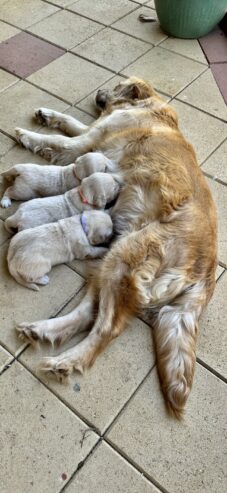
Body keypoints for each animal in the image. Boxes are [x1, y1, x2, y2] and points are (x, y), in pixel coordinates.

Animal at [15, 77, 217, 418]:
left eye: (117, 84)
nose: (99, 94)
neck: (148, 106)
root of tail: (207, 270)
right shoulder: (93, 132)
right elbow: (71, 122)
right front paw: (47, 115)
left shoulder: (88, 141)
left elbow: (62, 139)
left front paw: (28, 134)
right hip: (113, 261)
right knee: (90, 313)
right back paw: (44, 331)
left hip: (126, 257)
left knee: (106, 328)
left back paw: (67, 361)